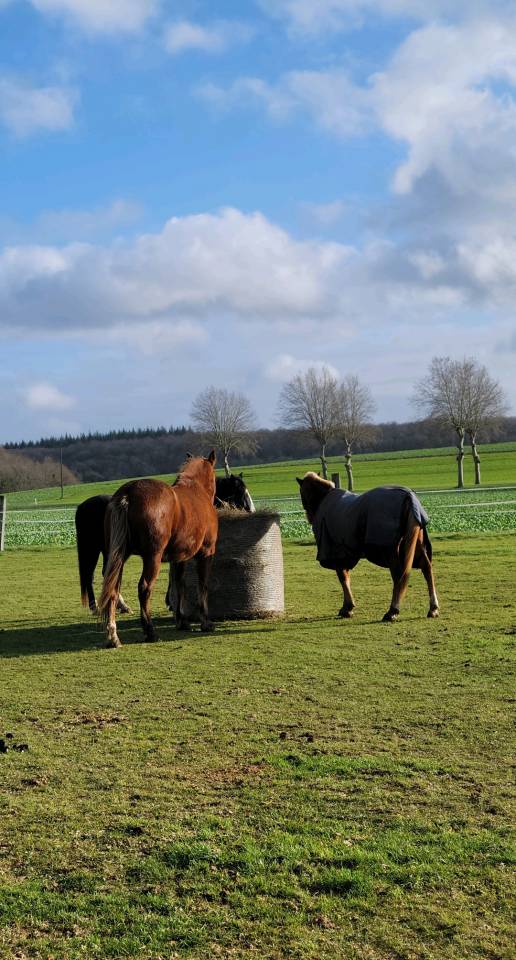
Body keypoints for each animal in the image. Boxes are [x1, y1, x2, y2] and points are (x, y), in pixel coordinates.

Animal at [75, 473, 254, 615]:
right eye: (240, 491)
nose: (252, 510)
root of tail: (82, 506)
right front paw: (170, 602)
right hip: (92, 550)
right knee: (91, 575)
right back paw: (98, 607)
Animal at [98, 452, 218, 648]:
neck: (196, 491)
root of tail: (128, 494)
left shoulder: (179, 558)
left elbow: (179, 584)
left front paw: (182, 621)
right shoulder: (206, 553)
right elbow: (203, 585)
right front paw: (206, 622)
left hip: (118, 558)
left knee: (113, 591)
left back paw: (113, 637)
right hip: (152, 557)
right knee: (144, 588)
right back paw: (150, 632)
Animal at [297, 473, 439, 622]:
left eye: (302, 492)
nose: (309, 516)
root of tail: (408, 496)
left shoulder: (337, 554)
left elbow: (343, 578)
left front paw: (347, 608)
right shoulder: (345, 555)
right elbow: (346, 577)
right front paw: (348, 607)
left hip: (390, 551)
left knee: (398, 575)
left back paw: (392, 611)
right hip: (417, 545)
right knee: (426, 569)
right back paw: (433, 608)